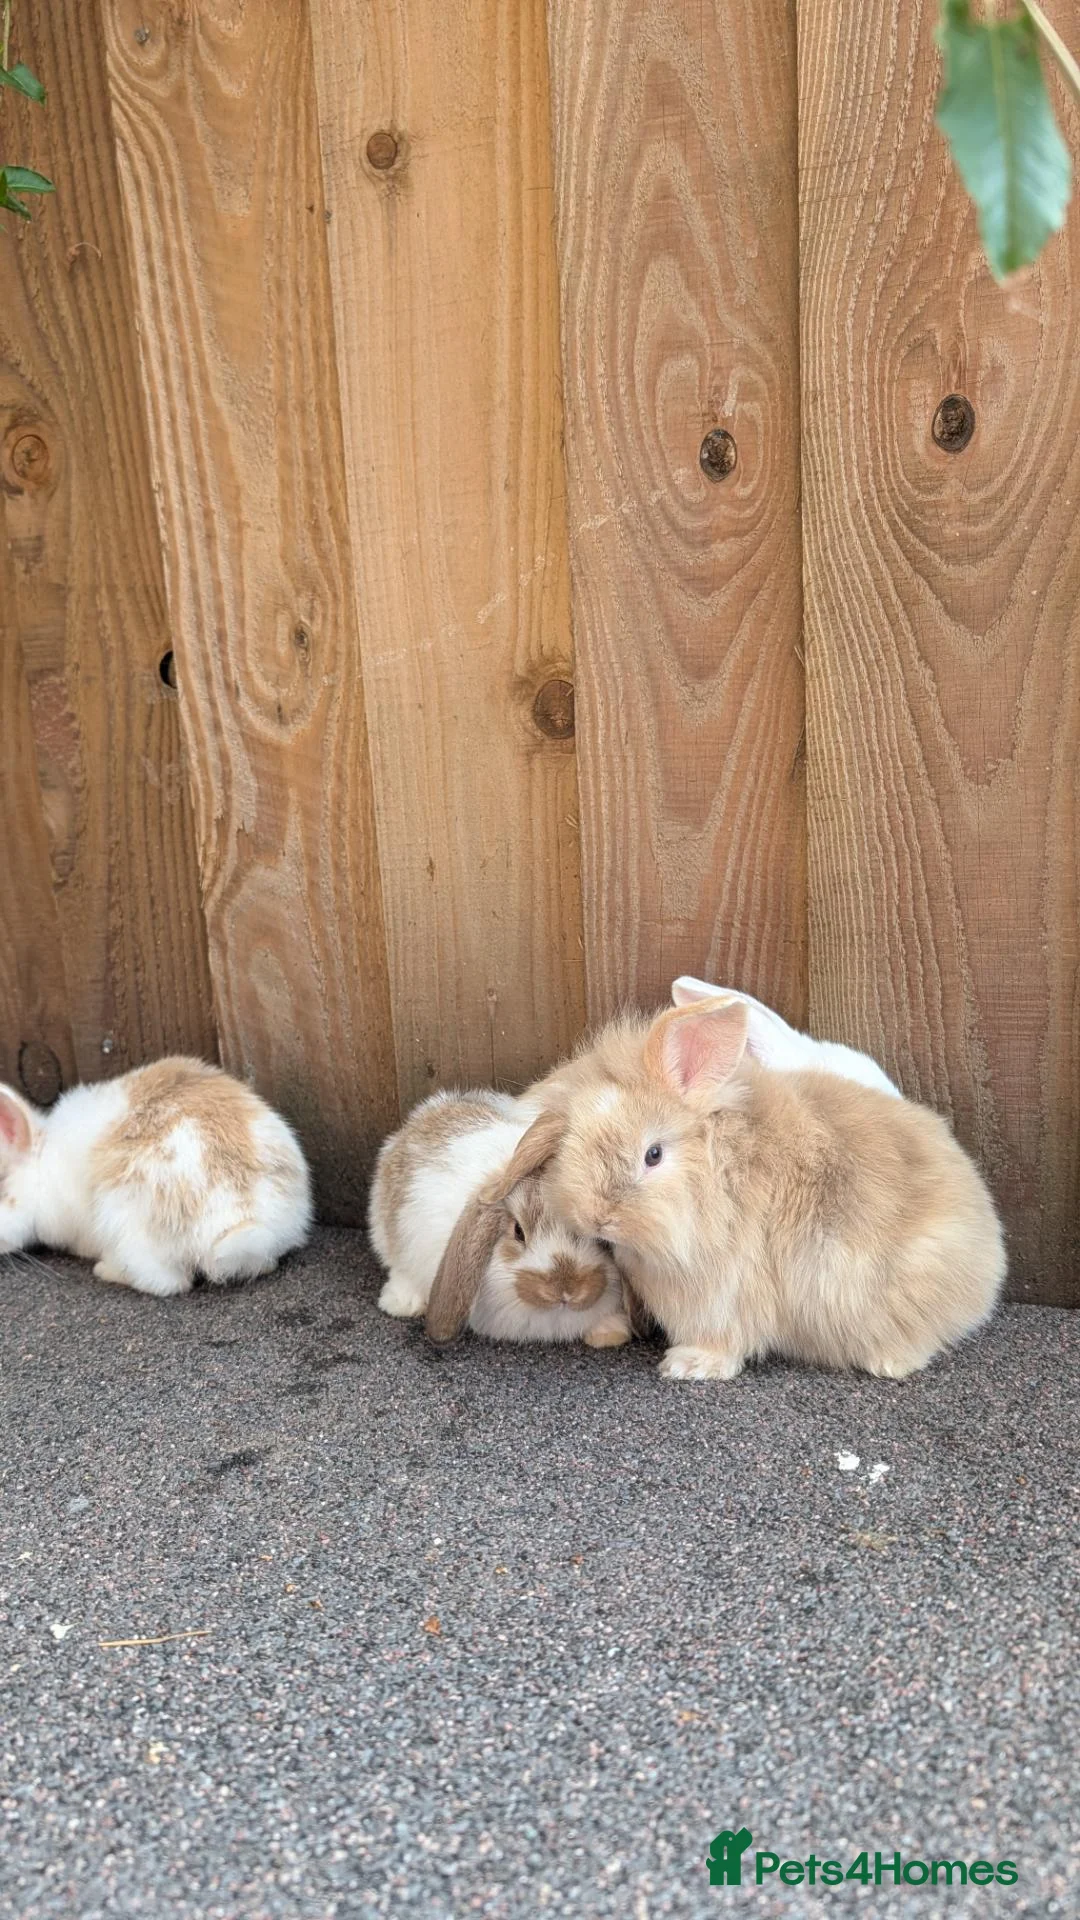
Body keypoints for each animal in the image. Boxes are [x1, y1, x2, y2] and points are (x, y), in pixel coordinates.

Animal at [0, 1058, 311, 1297]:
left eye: (1, 1192)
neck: (42, 1167)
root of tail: (238, 1219)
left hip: (126, 1224)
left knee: (167, 1283)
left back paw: (106, 1270)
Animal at [370, 1089, 631, 1347]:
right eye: (518, 1232)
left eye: (599, 1239)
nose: (565, 1291)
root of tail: (429, 1110)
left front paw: (609, 1334)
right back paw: (402, 1303)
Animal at [499, 996, 1005, 1382]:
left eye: (653, 1155)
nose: (596, 1216)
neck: (715, 1174)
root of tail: (990, 1259)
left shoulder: (725, 1290)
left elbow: (725, 1339)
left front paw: (688, 1365)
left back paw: (888, 1362)